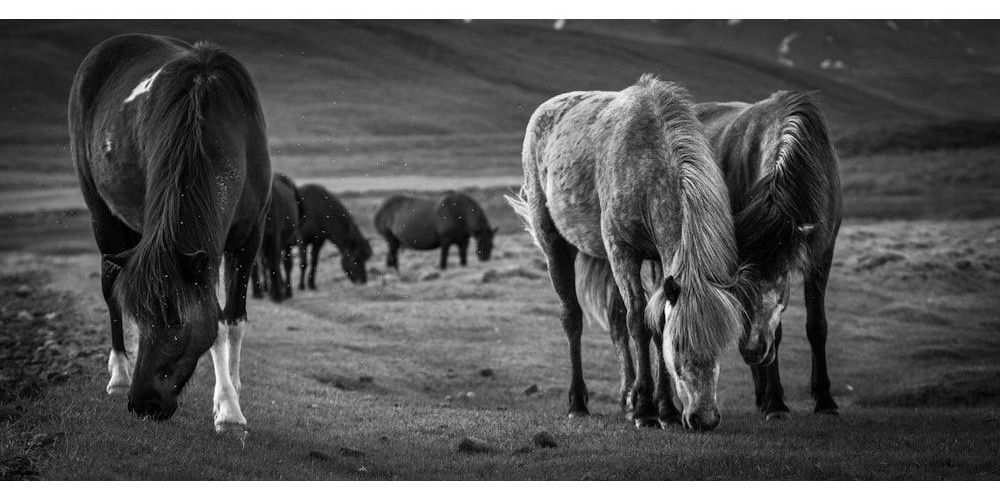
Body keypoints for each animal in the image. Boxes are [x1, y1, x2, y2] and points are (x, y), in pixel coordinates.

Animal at [69, 34, 270, 434]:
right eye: (143, 317)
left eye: (176, 320)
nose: (143, 404)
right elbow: (216, 324)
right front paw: (227, 408)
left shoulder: (246, 241)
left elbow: (232, 320)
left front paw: (231, 400)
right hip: (103, 217)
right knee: (110, 288)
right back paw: (119, 376)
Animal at [251, 173, 301, 302]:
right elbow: (257, 265)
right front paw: (258, 292)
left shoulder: (274, 238)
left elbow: (274, 263)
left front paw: (277, 295)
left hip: (287, 242)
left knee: (286, 264)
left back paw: (287, 291)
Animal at [506, 75, 755, 431]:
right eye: (680, 346)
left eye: (722, 346)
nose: (704, 418)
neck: (648, 165)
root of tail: (545, 111)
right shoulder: (622, 251)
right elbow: (638, 320)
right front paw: (646, 411)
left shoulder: (661, 259)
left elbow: (655, 322)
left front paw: (665, 408)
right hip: (555, 244)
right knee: (573, 317)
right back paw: (578, 403)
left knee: (614, 320)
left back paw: (627, 398)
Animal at [693, 91, 843, 419]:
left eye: (780, 274)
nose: (752, 350)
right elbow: (776, 330)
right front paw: (776, 403)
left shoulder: (821, 255)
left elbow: (817, 326)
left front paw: (825, 401)